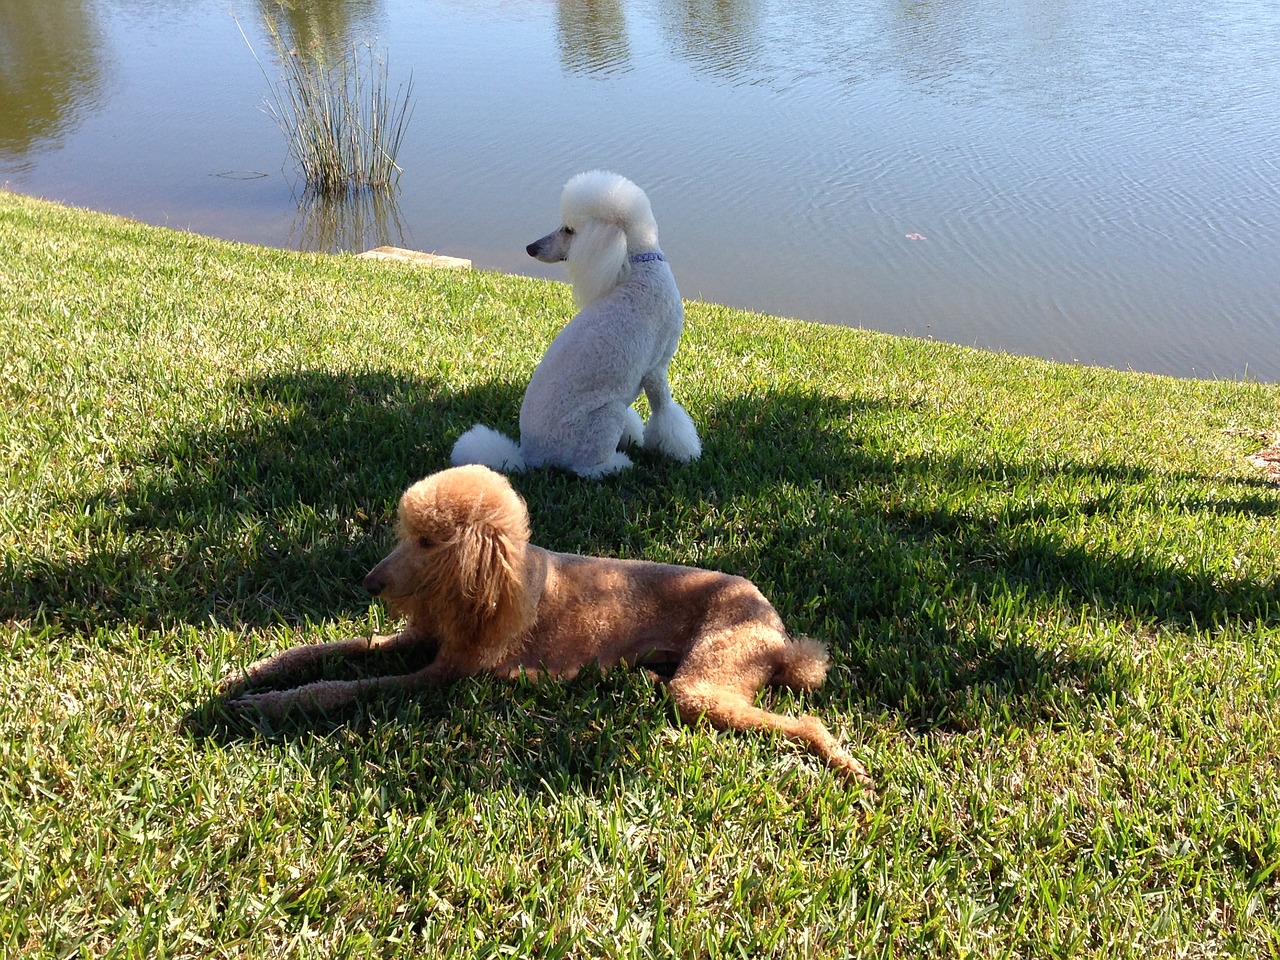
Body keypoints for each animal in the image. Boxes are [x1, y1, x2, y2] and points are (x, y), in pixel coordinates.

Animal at [225, 465, 875, 788]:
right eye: (407, 533)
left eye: (429, 542)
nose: (369, 583)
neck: (482, 587)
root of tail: (780, 632)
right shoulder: (417, 640)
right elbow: (333, 648)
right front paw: (257, 671)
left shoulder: (442, 674)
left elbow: (345, 687)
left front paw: (273, 704)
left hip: (706, 681)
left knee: (803, 721)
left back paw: (845, 764)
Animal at [450, 171, 701, 478]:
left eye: (569, 230)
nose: (530, 248)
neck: (642, 267)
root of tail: (529, 456)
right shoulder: (656, 370)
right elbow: (665, 413)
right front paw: (683, 452)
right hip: (606, 414)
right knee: (584, 469)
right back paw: (617, 465)